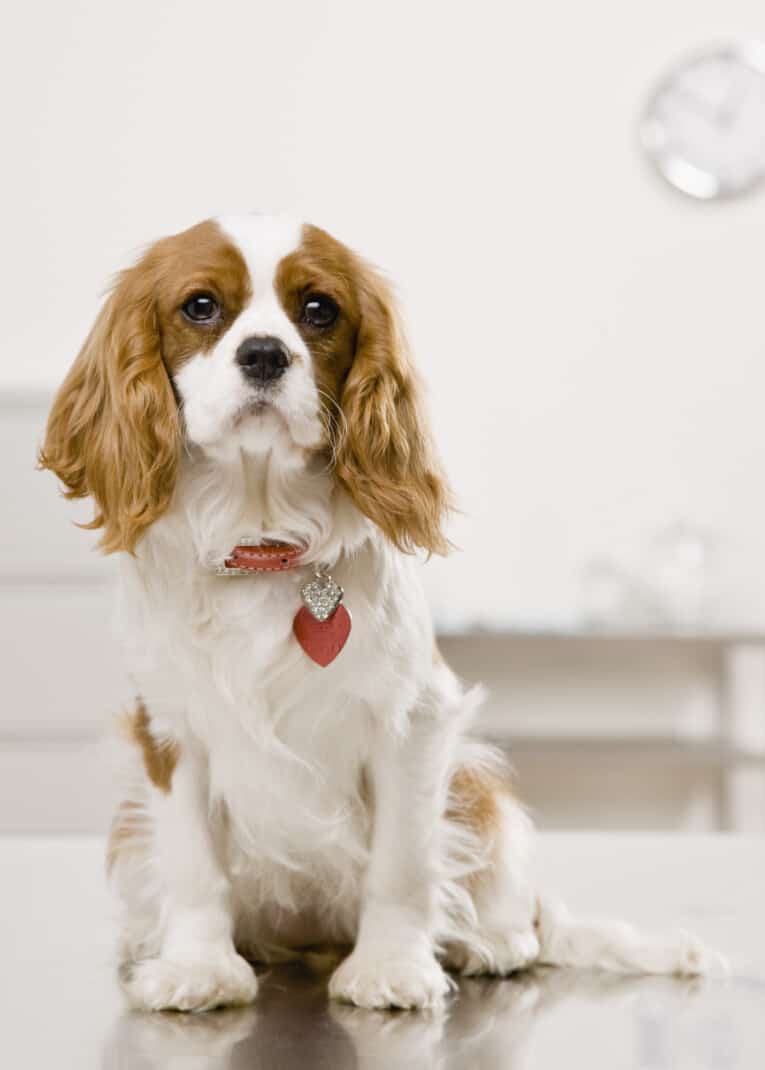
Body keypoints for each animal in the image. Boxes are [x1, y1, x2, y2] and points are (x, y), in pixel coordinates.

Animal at [38, 210, 727, 1010]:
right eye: (200, 306)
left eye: (318, 310)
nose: (265, 354)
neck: (263, 537)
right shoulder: (169, 732)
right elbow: (191, 863)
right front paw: (197, 967)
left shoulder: (413, 724)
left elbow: (402, 864)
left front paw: (392, 966)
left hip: (479, 790)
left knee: (520, 909)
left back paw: (493, 941)